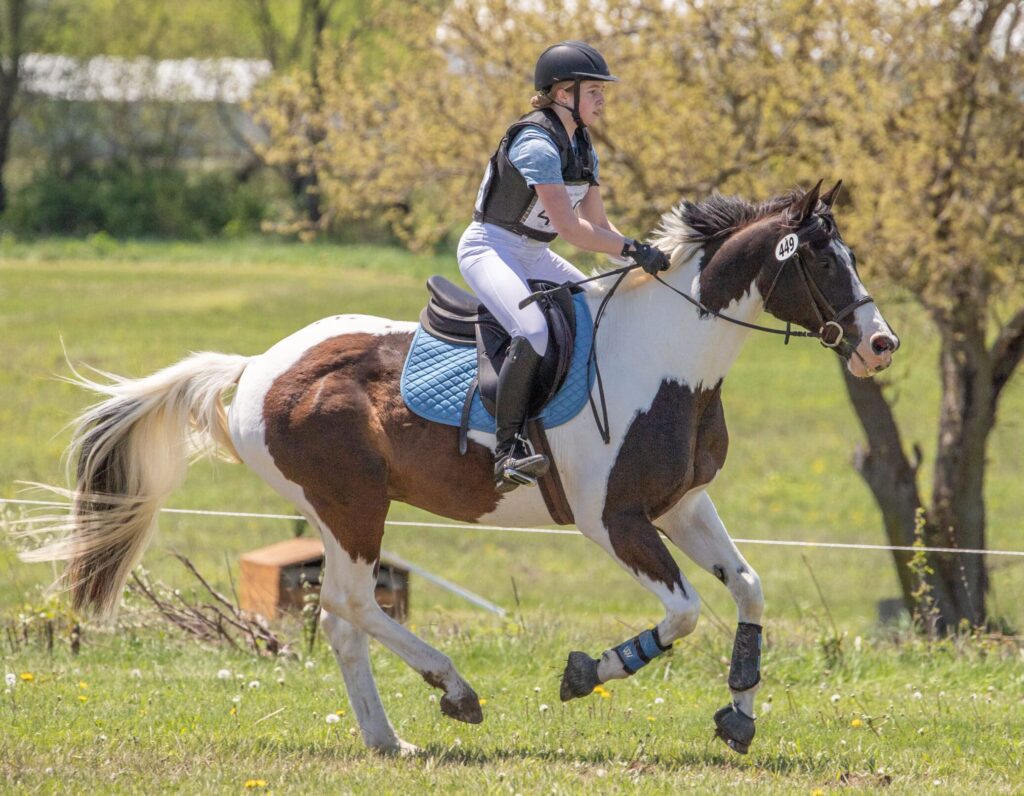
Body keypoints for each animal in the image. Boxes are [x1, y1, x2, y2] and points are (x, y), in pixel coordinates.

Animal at [24, 180, 901, 749]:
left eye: (853, 256)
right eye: (825, 263)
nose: (881, 345)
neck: (672, 360)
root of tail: (256, 368)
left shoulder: (682, 506)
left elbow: (748, 588)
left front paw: (740, 712)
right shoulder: (613, 521)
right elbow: (683, 612)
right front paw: (586, 671)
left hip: (336, 510)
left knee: (340, 617)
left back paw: (388, 740)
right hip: (353, 504)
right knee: (352, 603)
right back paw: (453, 688)